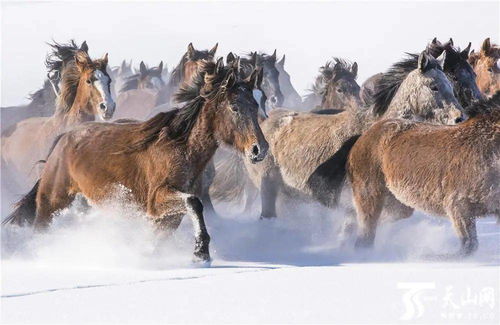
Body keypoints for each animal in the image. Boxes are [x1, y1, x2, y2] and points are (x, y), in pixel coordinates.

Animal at [2, 58, 270, 262]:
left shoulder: (167, 215)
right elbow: (195, 203)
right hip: (53, 200)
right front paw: (200, 253)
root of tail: (62, 140)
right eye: (234, 107)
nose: (260, 149)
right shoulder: (158, 198)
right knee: (40, 226)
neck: (180, 148)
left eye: (256, 103)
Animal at [348, 91, 500, 256]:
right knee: (365, 234)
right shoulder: (458, 206)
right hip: (369, 195)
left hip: (399, 206)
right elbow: (468, 246)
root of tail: (362, 137)